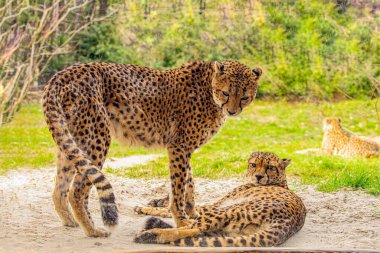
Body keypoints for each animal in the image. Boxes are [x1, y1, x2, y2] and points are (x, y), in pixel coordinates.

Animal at [134, 151, 306, 246]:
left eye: (270, 167)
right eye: (253, 164)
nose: (258, 176)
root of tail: (288, 223)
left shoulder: (213, 205)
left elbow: (171, 209)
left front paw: (144, 208)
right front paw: (154, 202)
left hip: (223, 211)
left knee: (193, 228)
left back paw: (150, 233)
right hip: (229, 231)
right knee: (195, 231)